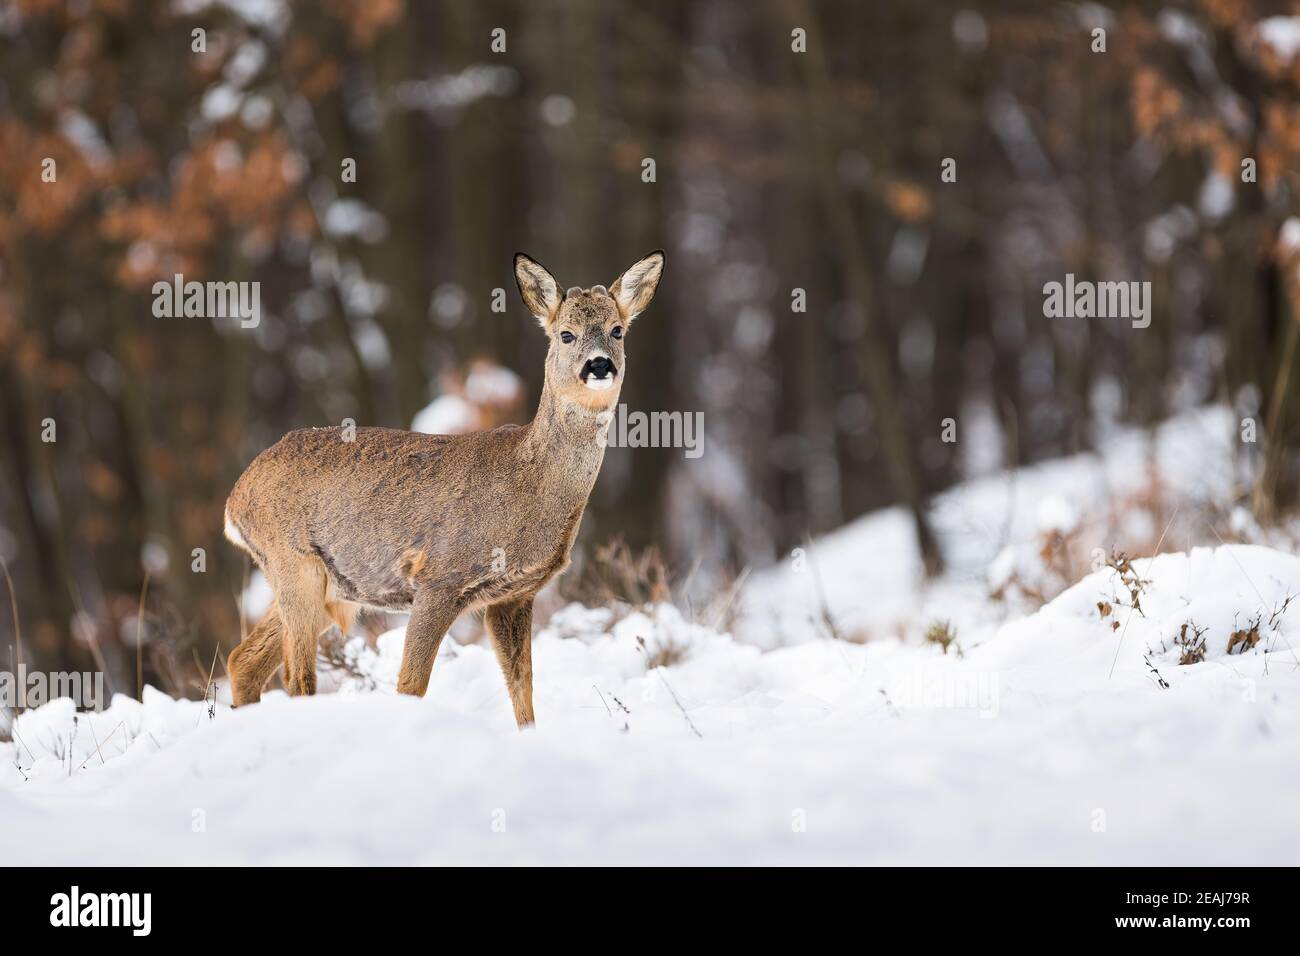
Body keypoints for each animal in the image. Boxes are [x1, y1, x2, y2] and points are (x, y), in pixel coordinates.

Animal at [223, 251, 665, 727]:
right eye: (566, 334)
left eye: (617, 329)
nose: (600, 365)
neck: (527, 488)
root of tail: (234, 498)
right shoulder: (438, 577)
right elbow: (410, 686)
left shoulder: (514, 596)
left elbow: (523, 693)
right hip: (294, 563)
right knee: (296, 678)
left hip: (328, 587)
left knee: (243, 660)